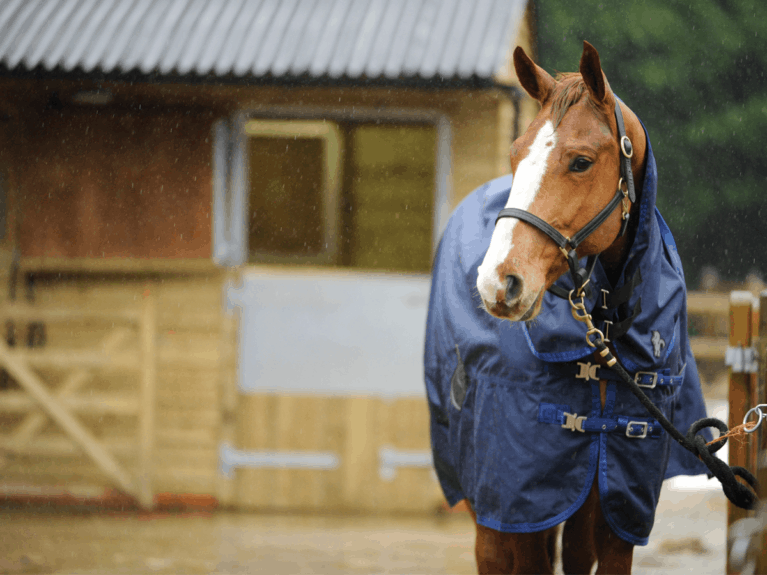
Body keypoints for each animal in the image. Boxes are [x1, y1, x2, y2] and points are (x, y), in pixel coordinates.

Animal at [424, 41, 712, 574]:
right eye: (516, 153)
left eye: (580, 161)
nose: (498, 281)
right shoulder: (526, 507)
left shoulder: (619, 510)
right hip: (487, 507)